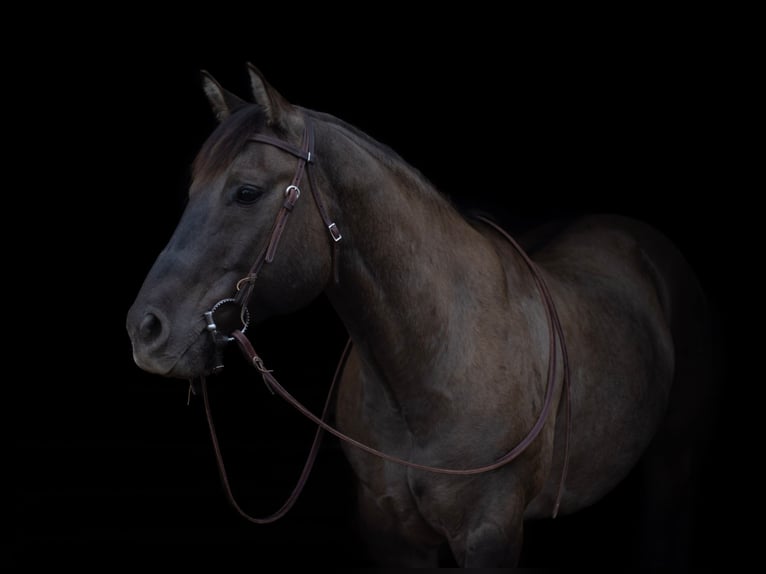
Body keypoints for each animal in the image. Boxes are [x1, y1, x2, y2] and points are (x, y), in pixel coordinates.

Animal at [126, 62, 720, 568]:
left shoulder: (489, 534)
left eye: (246, 192)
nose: (145, 330)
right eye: (191, 190)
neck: (434, 357)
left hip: (674, 461)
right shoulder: (391, 533)